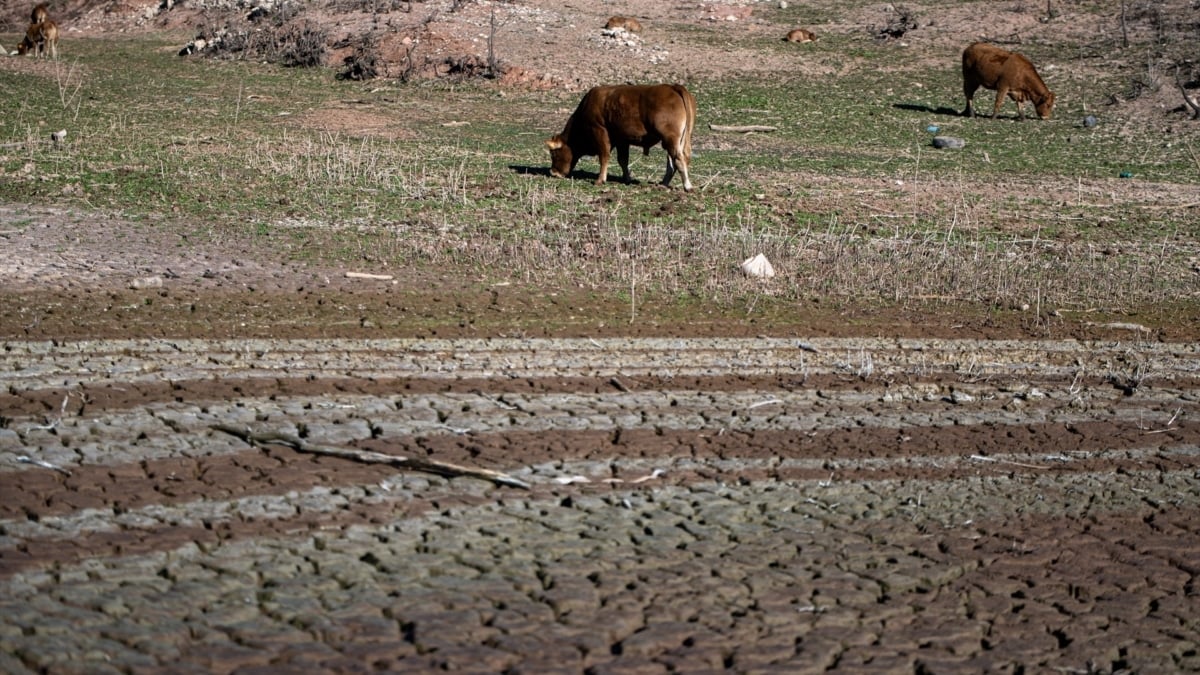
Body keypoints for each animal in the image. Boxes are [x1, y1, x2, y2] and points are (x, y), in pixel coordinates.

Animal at [544, 84, 696, 190]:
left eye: (554, 154)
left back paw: (687, 186)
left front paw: (600, 179)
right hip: (675, 140)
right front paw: (627, 178)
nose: (553, 172)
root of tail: (673, 87)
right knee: (672, 161)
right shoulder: (622, 140)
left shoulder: (600, 131)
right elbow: (623, 160)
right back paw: (663, 183)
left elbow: (604, 156)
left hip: (670, 138)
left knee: (678, 158)